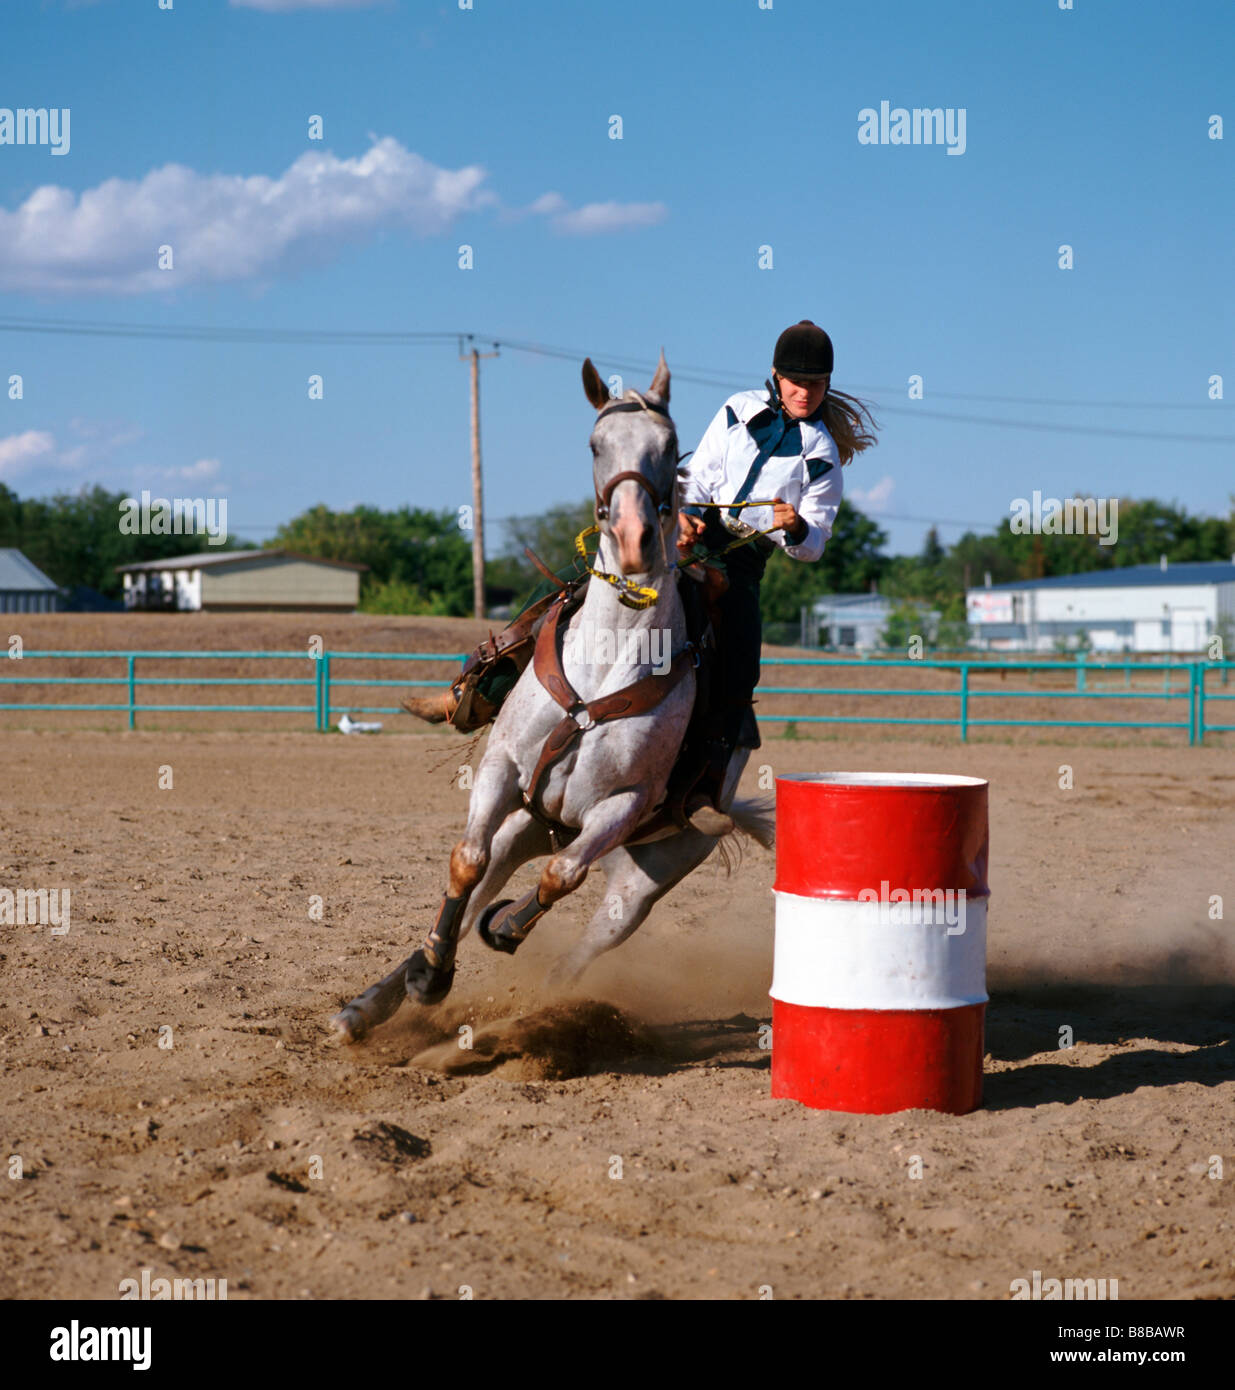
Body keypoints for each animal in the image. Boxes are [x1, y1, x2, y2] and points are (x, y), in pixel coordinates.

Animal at [331, 355, 773, 1045]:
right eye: (595, 444)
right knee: (475, 890)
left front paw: (507, 931)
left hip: (645, 871)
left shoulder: (621, 807)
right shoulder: (502, 770)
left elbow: (562, 876)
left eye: (668, 445)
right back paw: (378, 1000)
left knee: (585, 934)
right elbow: (465, 860)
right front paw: (429, 977)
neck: (602, 676)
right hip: (529, 823)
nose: (634, 536)